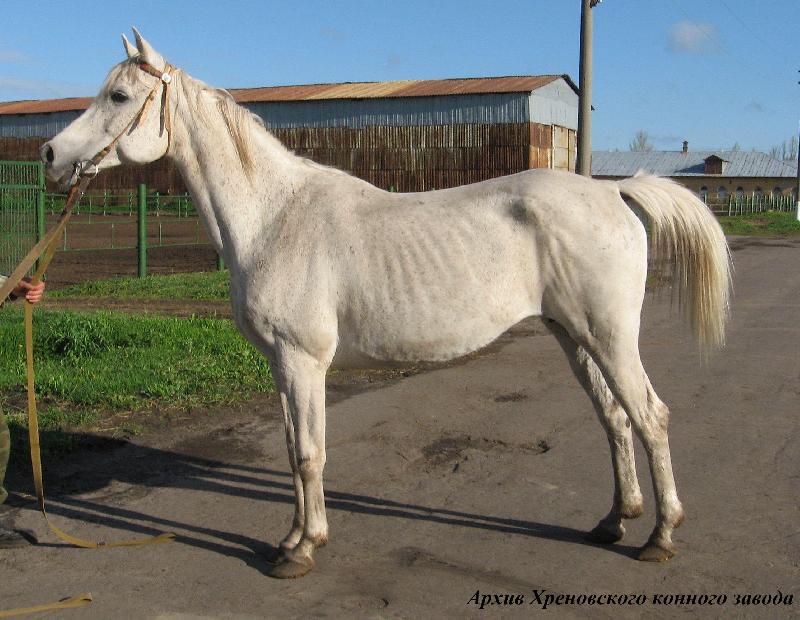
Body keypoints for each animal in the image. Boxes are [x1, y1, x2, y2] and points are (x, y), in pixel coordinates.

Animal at [41, 30, 731, 579]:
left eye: (119, 97)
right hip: (574, 335)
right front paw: (294, 538)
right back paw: (615, 521)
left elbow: (308, 454)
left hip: (609, 336)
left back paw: (659, 536)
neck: (274, 217)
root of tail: (615, 194)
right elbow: (293, 449)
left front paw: (301, 552)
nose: (51, 156)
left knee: (650, 417)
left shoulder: (303, 361)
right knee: (615, 419)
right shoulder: (283, 366)